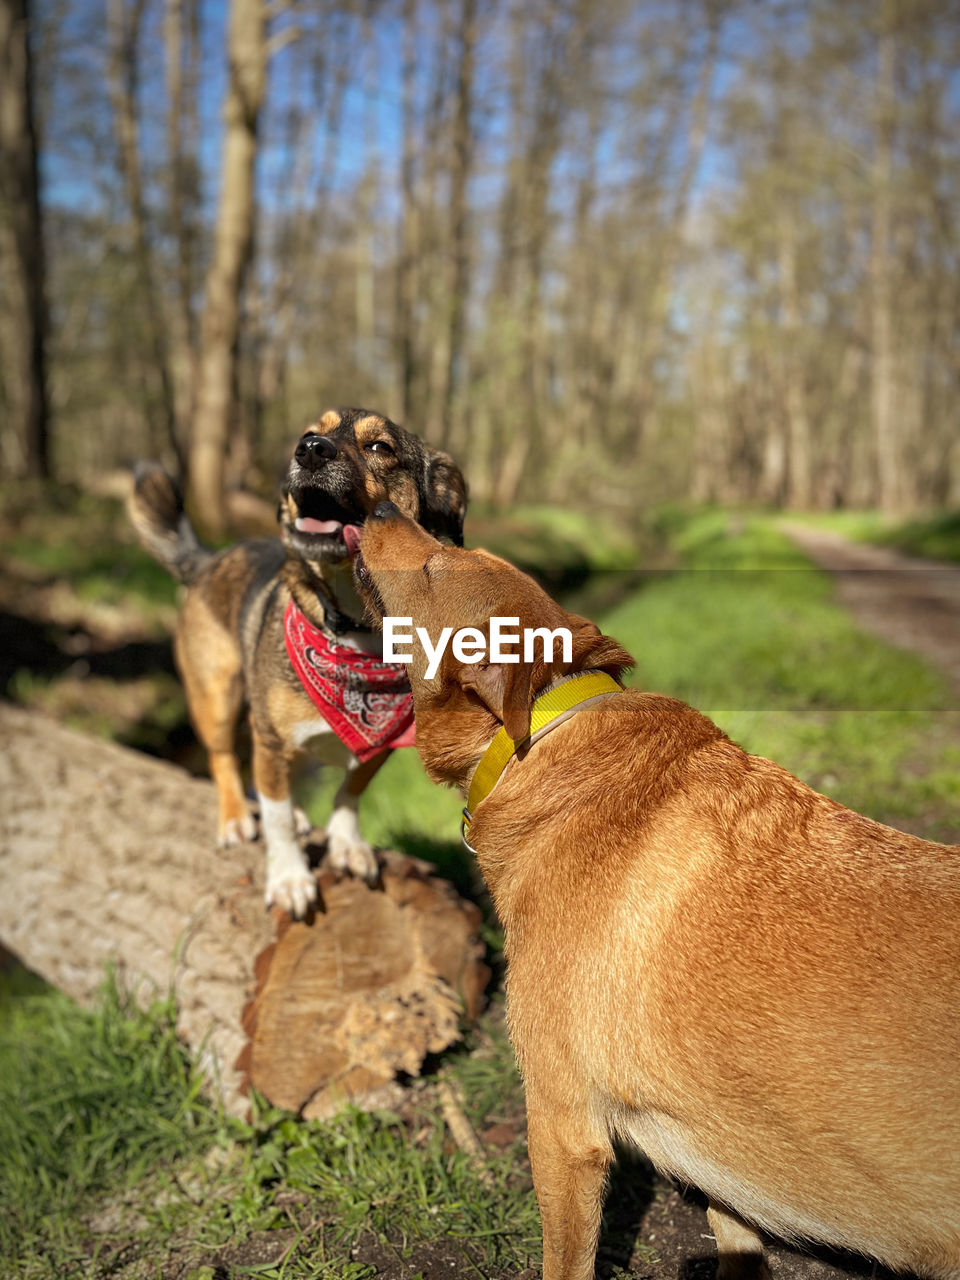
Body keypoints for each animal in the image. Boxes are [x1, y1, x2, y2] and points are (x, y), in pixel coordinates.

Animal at [128, 404, 471, 916]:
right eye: (309, 432)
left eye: (380, 447)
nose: (309, 450)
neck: (354, 634)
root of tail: (209, 560)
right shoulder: (272, 740)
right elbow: (276, 821)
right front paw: (290, 877)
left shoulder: (380, 746)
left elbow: (349, 792)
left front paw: (347, 844)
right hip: (218, 695)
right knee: (224, 760)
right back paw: (235, 817)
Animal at [358, 504, 960, 1280]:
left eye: (434, 565)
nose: (376, 506)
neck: (546, 731)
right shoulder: (720, 1157)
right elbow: (735, 1236)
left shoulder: (562, 1126)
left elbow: (566, 1260)